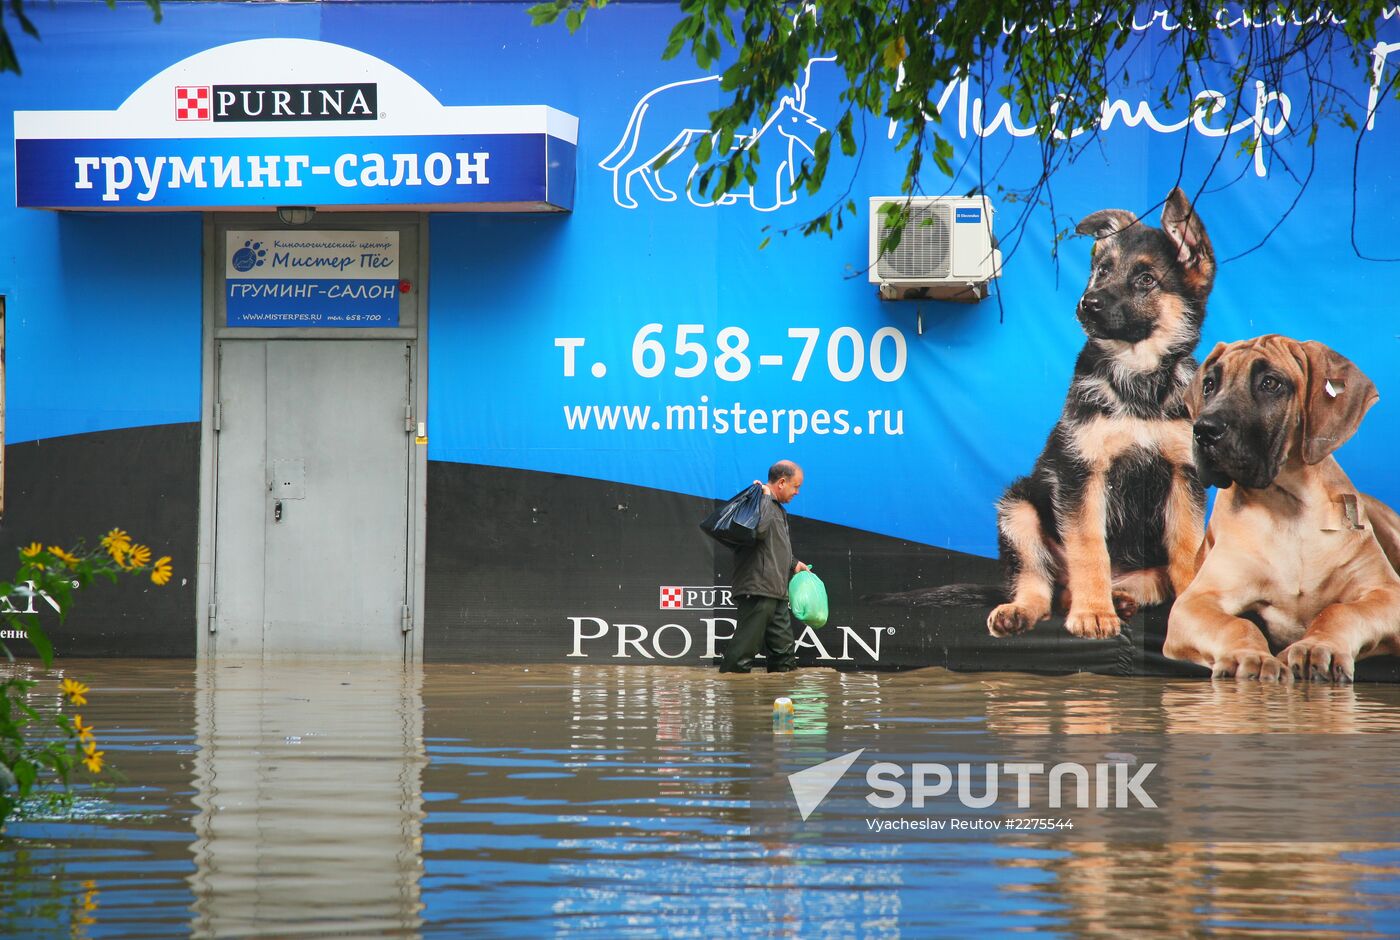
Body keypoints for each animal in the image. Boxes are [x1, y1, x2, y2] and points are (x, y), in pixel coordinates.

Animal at [873, 186, 1215, 638]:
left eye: (1146, 280)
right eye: (1102, 270)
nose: (1087, 304)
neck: (1137, 381)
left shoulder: (1182, 476)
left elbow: (1186, 550)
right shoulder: (1081, 474)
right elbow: (1089, 547)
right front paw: (1094, 613)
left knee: (1134, 581)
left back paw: (1122, 598)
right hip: (1017, 508)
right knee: (1040, 584)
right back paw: (1029, 609)